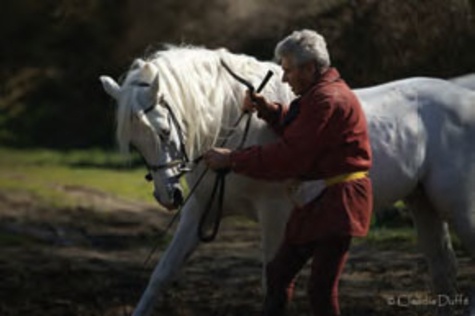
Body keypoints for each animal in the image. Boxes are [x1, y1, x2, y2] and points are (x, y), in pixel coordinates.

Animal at [98, 45, 474, 314]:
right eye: (136, 143)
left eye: (163, 131)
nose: (168, 196)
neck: (237, 123)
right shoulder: (199, 212)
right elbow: (161, 276)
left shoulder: (275, 216)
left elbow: (273, 285)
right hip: (423, 203)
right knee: (443, 271)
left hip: (459, 207)